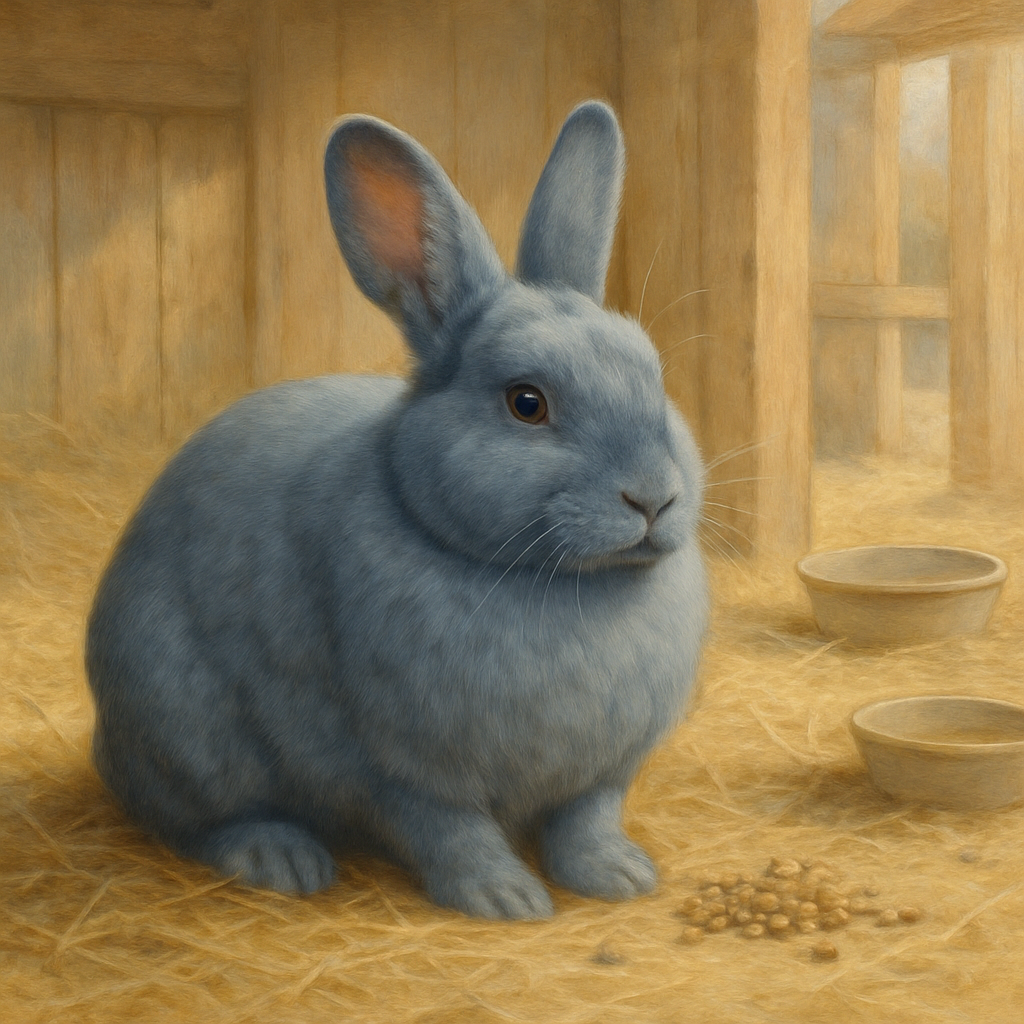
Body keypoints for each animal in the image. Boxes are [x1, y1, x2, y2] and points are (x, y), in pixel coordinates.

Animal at [85, 100, 709, 920]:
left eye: (657, 379)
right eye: (527, 403)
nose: (652, 496)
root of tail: (104, 737)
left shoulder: (603, 769)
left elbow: (586, 820)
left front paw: (621, 877)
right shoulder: (398, 765)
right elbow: (448, 828)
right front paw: (503, 898)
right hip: (186, 728)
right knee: (191, 818)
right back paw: (280, 859)